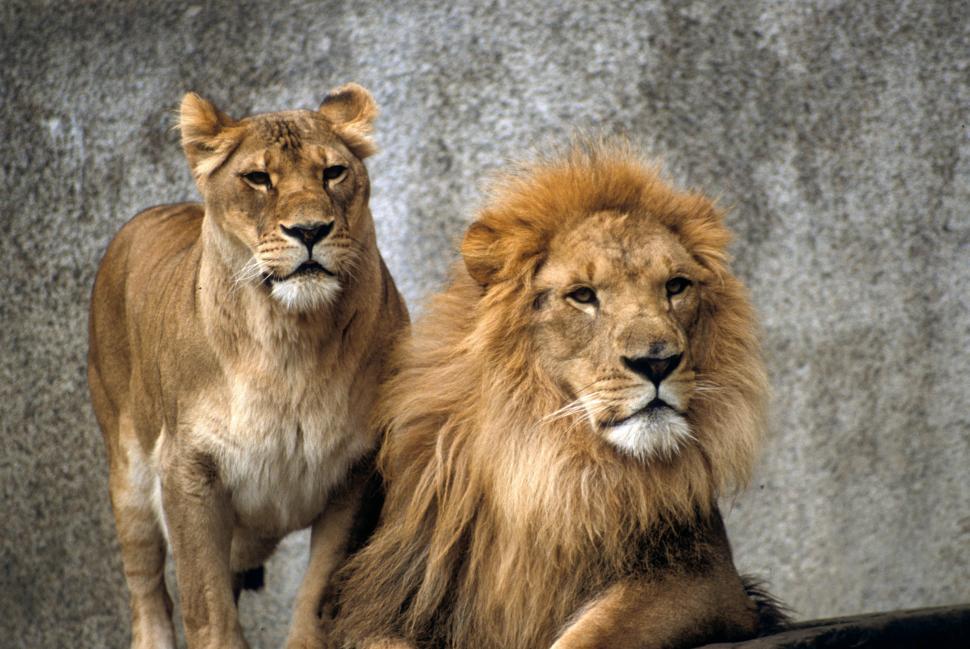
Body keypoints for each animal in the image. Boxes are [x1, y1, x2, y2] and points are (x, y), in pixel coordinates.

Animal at [87, 83, 408, 649]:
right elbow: (207, 604)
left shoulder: (356, 469)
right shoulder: (186, 469)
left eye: (333, 172)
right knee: (146, 587)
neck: (290, 339)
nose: (310, 230)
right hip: (129, 473)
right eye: (258, 178)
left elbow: (317, 592)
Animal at [330, 142, 785, 649]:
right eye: (583, 296)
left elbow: (592, 634)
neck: (554, 469)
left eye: (676, 286)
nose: (657, 362)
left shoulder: (708, 579)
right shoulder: (390, 604)